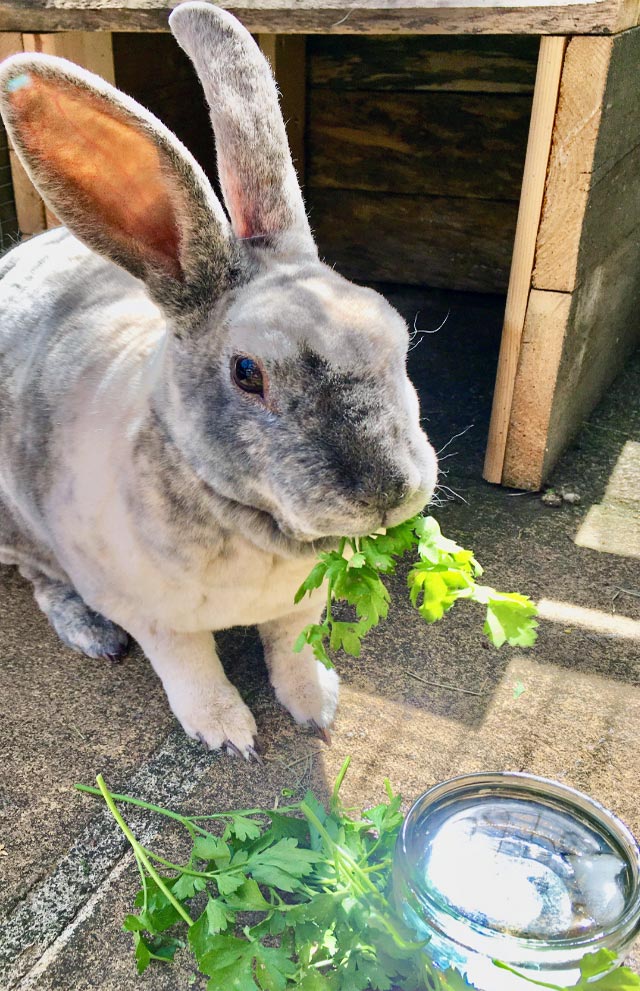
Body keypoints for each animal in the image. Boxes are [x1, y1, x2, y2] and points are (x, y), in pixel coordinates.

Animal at [0, 1, 438, 760]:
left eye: (395, 334)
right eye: (247, 372)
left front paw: (317, 706)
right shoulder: (158, 619)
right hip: (21, 526)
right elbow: (191, 667)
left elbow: (290, 650)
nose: (389, 492)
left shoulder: (301, 606)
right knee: (40, 580)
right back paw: (90, 632)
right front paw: (229, 734)